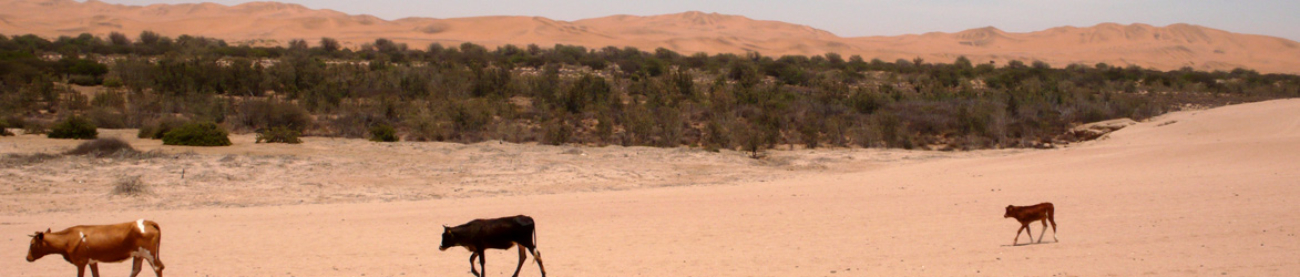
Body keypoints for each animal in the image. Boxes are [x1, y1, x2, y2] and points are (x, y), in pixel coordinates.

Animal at [26, 218, 165, 277]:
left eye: (32, 244)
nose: (27, 258)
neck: (68, 238)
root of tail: (147, 222)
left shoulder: (81, 263)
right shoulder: (92, 262)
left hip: (149, 254)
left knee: (157, 268)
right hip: (139, 255)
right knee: (135, 270)